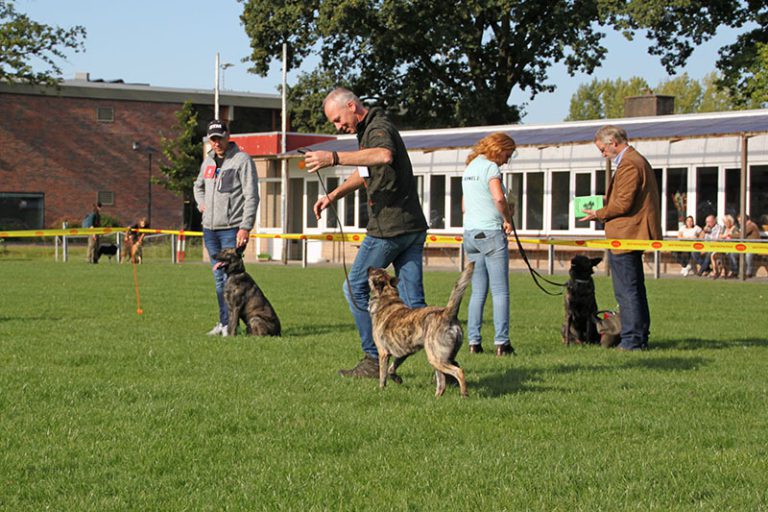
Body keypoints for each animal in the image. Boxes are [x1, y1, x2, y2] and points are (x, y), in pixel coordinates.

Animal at [368, 262, 474, 398]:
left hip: (436, 358)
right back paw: (437, 397)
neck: (387, 296)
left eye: (374, 272)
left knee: (459, 371)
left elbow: (383, 376)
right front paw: (398, 379)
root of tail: (447, 313)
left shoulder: (383, 353)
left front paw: (381, 390)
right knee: (443, 382)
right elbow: (392, 369)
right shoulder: (404, 353)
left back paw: (464, 394)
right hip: (440, 359)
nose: (369, 267)